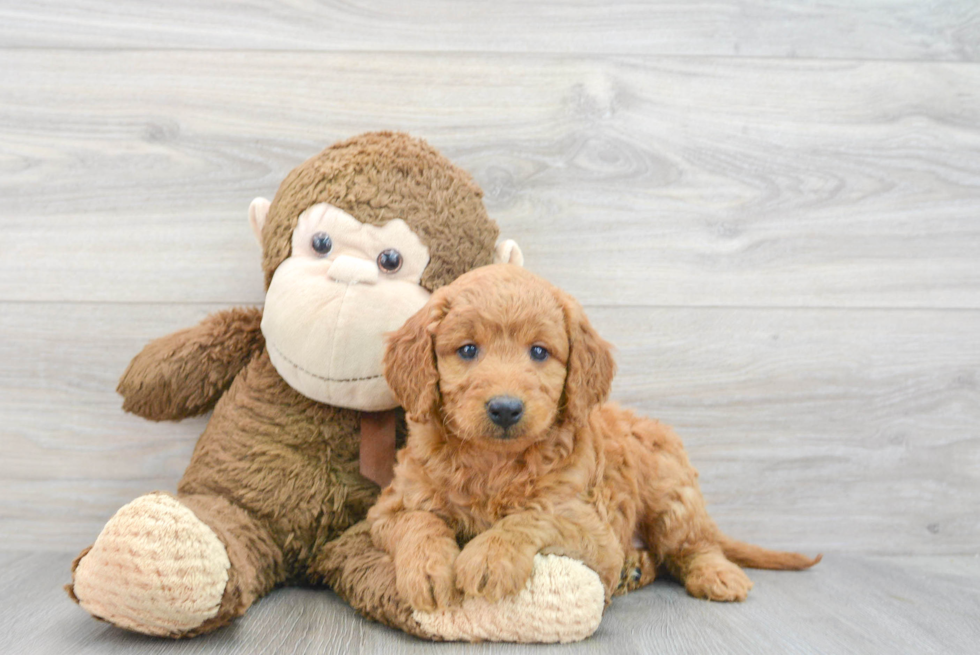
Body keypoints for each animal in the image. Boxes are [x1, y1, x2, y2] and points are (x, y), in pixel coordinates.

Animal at [368, 264, 820, 612]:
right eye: (467, 350)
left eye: (539, 352)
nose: (506, 408)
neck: (494, 462)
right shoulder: (391, 506)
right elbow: (418, 522)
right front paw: (427, 570)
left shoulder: (589, 524)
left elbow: (532, 516)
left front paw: (490, 556)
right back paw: (632, 568)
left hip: (672, 494)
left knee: (694, 543)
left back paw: (716, 574)